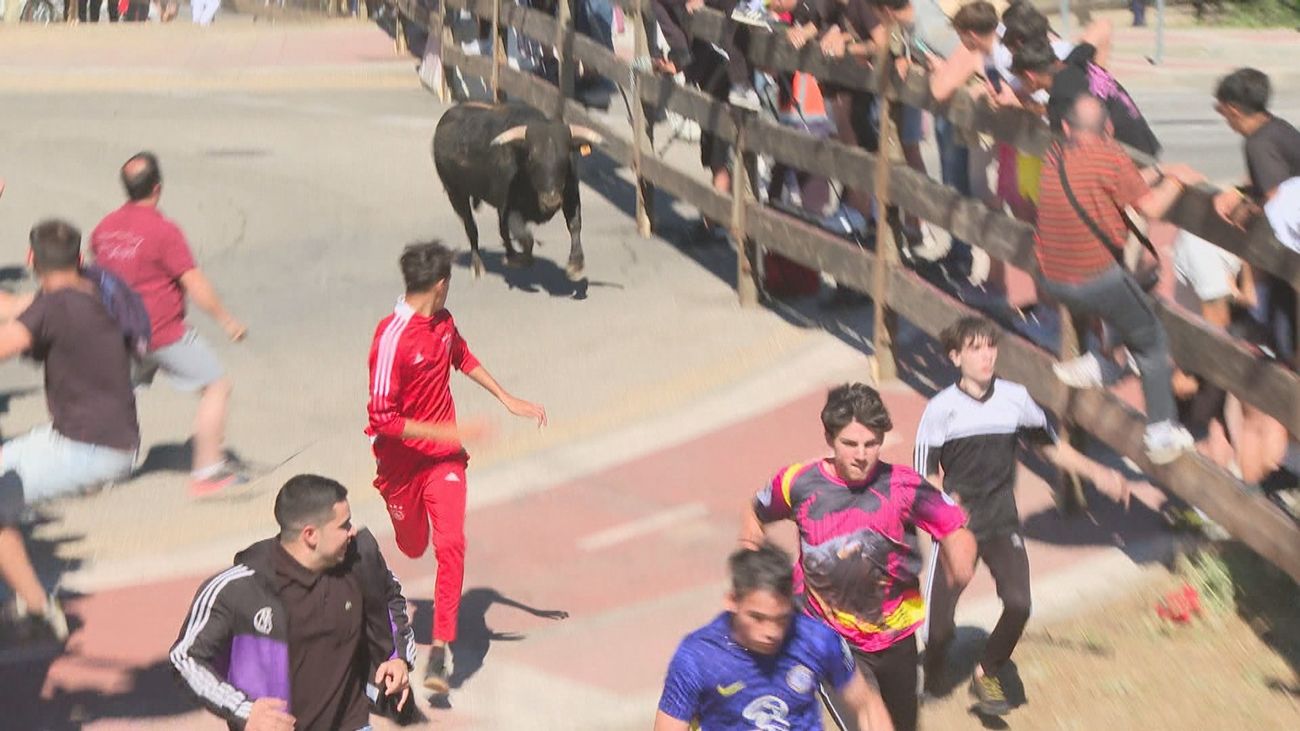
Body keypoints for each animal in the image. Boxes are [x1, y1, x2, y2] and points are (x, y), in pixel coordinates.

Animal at [434, 104, 600, 279]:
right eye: (531, 158)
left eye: (565, 157)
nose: (551, 201)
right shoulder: (508, 207)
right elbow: (525, 237)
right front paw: (520, 259)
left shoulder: (571, 197)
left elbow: (575, 225)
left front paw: (576, 264)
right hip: (455, 193)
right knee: (471, 227)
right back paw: (479, 265)